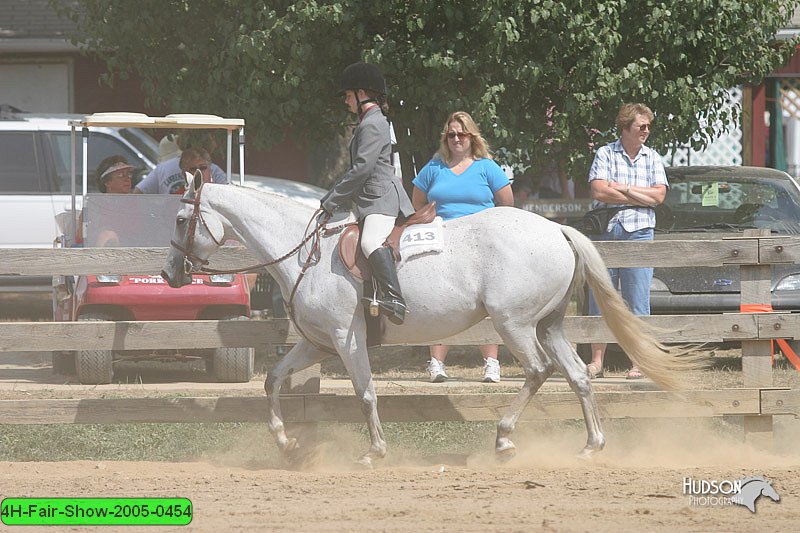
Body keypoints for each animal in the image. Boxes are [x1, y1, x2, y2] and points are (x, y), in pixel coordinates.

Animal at [162, 179, 708, 466]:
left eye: (180, 220)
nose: (170, 274)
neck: (305, 253)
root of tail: (556, 228)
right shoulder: (317, 343)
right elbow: (273, 380)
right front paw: (286, 442)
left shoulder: (344, 338)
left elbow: (364, 393)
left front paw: (375, 450)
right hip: (548, 324)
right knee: (577, 376)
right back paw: (591, 446)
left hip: (514, 324)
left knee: (538, 371)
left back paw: (505, 438)